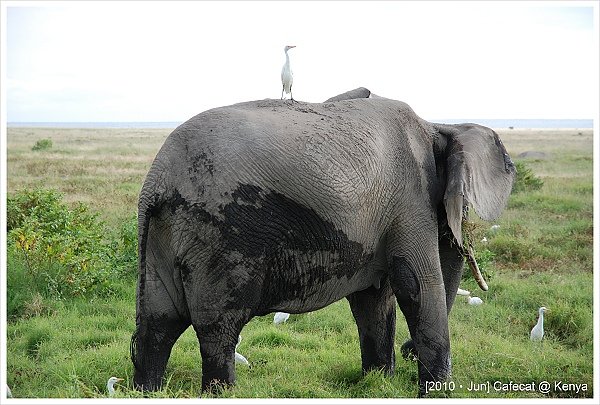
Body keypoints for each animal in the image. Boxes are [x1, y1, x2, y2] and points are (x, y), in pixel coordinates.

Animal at [131, 87, 516, 394]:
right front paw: (432, 393)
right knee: (218, 329)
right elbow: (417, 284)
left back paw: (147, 391)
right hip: (221, 235)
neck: (438, 126)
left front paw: (377, 383)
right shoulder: (410, 200)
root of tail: (157, 180)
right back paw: (220, 392)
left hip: (166, 234)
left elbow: (373, 300)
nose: (407, 352)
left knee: (157, 324)